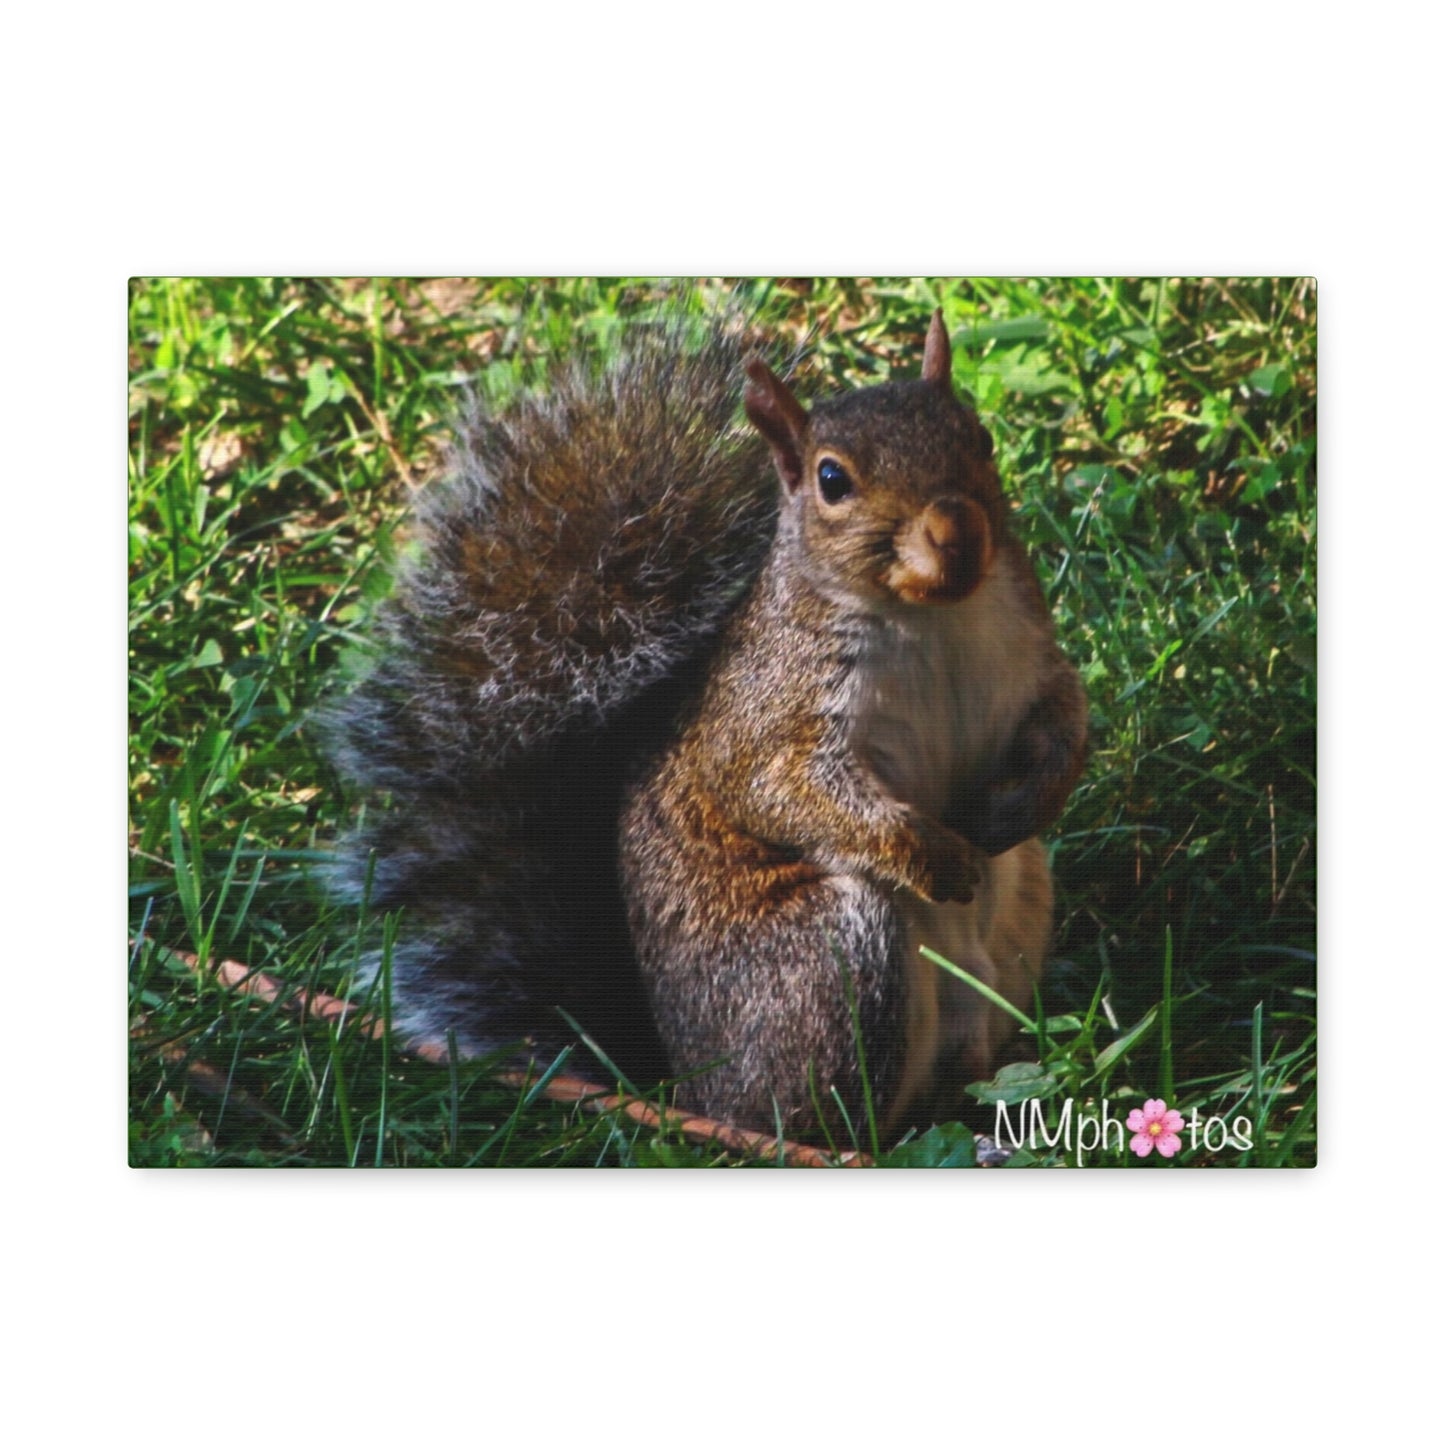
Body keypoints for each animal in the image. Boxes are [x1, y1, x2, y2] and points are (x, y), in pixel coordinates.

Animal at [323, 304, 1087, 1140]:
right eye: (831, 480)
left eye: (979, 437)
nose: (957, 532)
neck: (932, 616)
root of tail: (690, 1089)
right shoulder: (768, 716)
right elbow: (783, 792)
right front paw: (934, 856)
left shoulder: (1029, 658)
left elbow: (1065, 718)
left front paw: (1023, 801)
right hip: (827, 958)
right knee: (827, 1118)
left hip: (1022, 903)